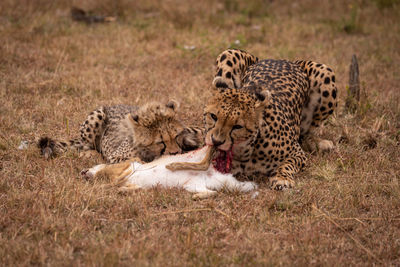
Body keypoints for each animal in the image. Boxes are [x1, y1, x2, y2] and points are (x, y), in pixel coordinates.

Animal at [39, 100, 203, 163]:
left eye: (176, 136)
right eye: (160, 141)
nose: (175, 153)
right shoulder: (114, 157)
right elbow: (134, 159)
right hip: (97, 115)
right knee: (86, 145)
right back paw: (89, 154)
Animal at [203, 48, 338, 191]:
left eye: (238, 126)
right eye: (213, 117)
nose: (216, 141)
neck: (244, 150)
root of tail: (282, 60)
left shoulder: (296, 153)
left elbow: (287, 164)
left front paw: (282, 178)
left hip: (326, 73)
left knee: (310, 130)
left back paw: (318, 143)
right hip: (228, 53)